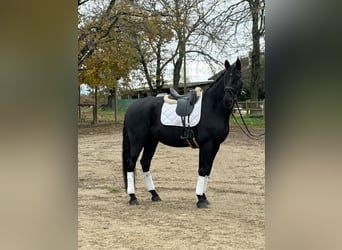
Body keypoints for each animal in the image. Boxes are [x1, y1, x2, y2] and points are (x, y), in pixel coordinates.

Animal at [121, 58, 242, 207]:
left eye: (238, 77)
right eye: (226, 78)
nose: (227, 100)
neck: (212, 107)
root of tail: (131, 108)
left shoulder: (215, 145)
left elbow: (208, 169)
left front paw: (204, 197)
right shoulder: (206, 144)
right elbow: (203, 169)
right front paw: (200, 199)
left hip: (151, 141)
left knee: (145, 163)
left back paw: (154, 194)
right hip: (137, 141)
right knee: (130, 163)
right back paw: (133, 197)